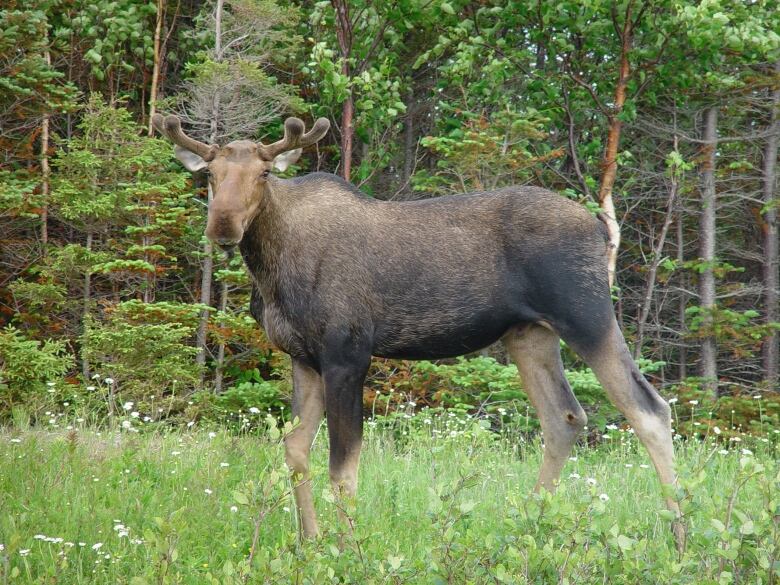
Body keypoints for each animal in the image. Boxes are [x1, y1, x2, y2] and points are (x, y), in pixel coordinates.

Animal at [152, 113, 684, 548]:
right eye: (210, 176)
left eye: (263, 174)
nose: (223, 226)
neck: (272, 268)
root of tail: (601, 228)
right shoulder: (302, 356)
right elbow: (295, 451)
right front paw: (309, 542)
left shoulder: (348, 353)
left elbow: (342, 469)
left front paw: (347, 550)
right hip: (529, 333)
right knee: (565, 418)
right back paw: (530, 527)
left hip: (587, 315)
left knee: (649, 410)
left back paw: (680, 536)